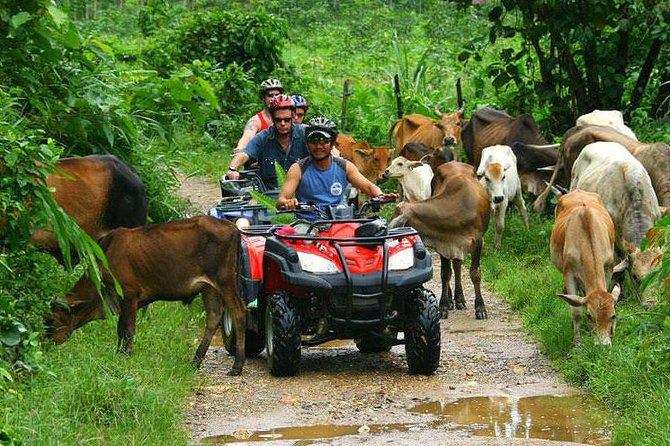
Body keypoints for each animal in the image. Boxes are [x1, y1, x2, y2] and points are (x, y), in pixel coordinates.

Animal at [50, 216, 248, 376]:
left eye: (52, 319)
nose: (47, 342)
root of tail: (233, 228)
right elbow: (121, 329)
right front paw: (119, 354)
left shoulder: (129, 295)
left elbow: (126, 329)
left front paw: (125, 357)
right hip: (209, 287)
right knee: (214, 315)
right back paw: (196, 360)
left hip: (225, 281)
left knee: (239, 312)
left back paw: (237, 366)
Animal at [388, 162, 494, 318]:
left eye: (395, 218)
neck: (458, 208)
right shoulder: (442, 241)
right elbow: (445, 274)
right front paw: (443, 306)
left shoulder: (477, 242)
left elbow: (475, 273)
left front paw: (480, 308)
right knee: (453, 267)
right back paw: (452, 300)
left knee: (457, 265)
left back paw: (460, 299)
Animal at [552, 190, 628, 346]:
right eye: (589, 316)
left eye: (613, 315)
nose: (603, 345)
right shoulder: (569, 274)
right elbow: (576, 312)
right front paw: (577, 343)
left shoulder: (608, 268)